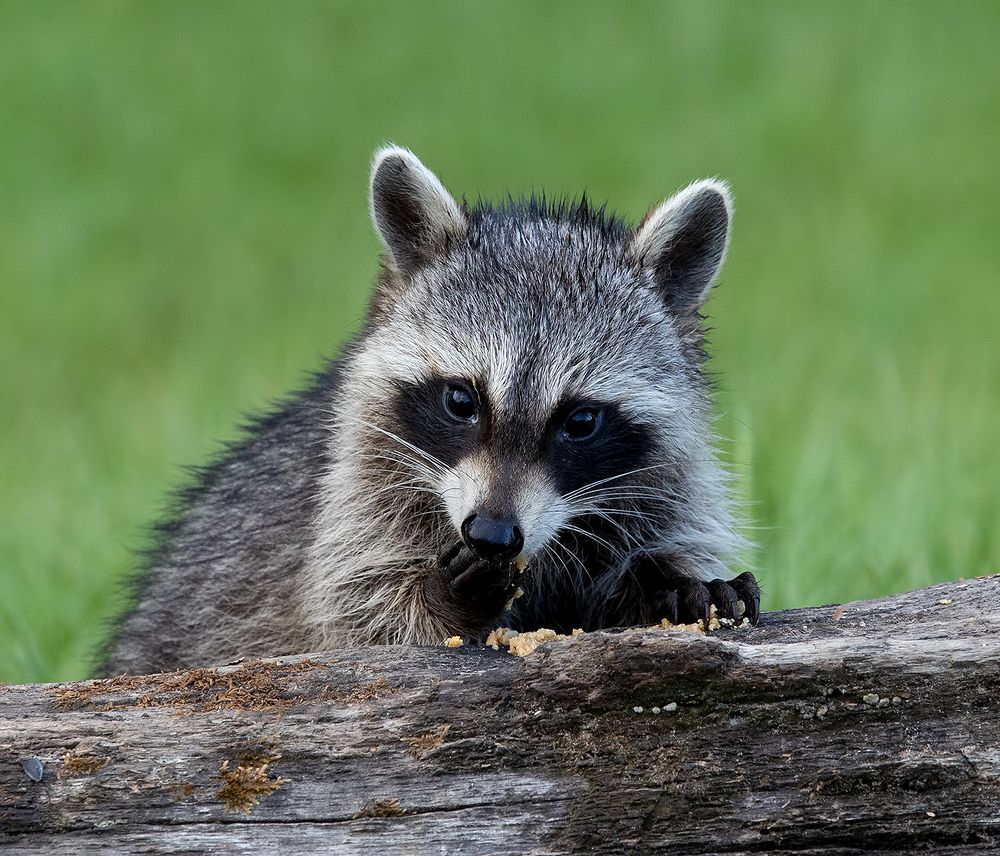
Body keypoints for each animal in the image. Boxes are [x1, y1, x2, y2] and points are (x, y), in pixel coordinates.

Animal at [99, 146, 759, 676]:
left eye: (579, 421)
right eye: (462, 400)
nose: (491, 535)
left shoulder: (661, 479)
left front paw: (664, 576)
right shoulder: (354, 500)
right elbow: (367, 623)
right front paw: (448, 601)